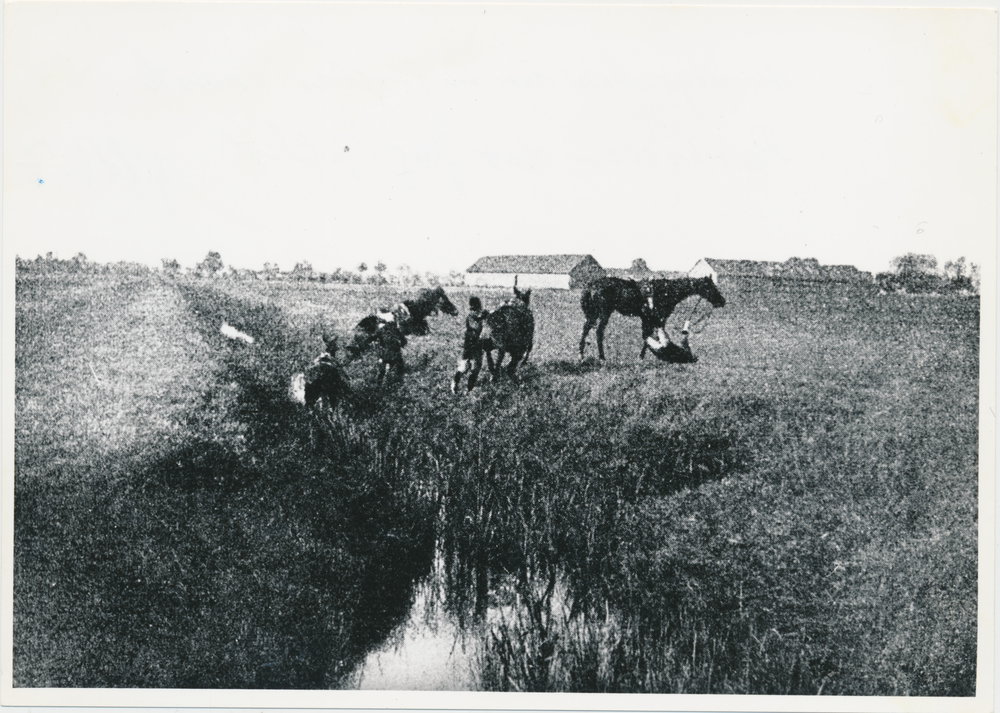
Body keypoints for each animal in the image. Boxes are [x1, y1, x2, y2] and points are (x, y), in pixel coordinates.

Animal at [580, 274, 728, 362]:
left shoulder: (652, 319)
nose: (722, 301)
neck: (666, 291)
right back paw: (601, 357)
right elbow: (650, 336)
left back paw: (581, 355)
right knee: (599, 332)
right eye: (710, 286)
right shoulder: (655, 318)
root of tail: (591, 285)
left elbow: (649, 335)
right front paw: (648, 355)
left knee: (586, 330)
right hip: (604, 313)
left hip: (593, 314)